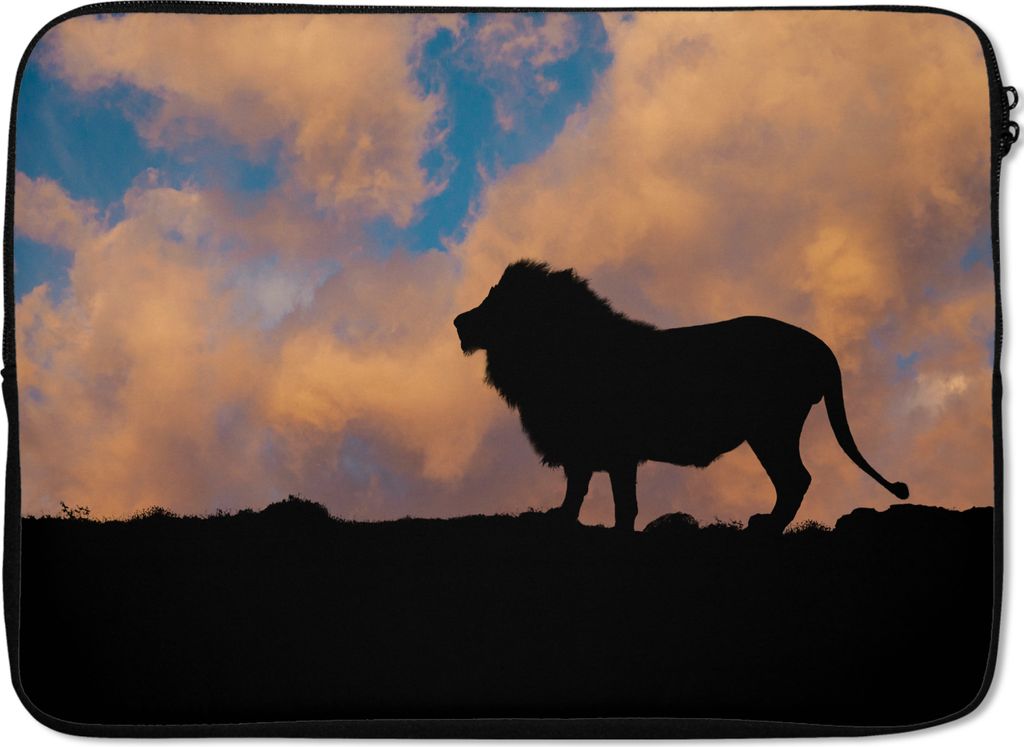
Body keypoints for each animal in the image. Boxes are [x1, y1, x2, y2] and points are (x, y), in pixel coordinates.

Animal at [454, 260, 909, 533]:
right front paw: (563, 518)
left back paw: (765, 527)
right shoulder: (583, 449)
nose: (458, 321)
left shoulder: (617, 450)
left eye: (496, 303)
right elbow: (578, 488)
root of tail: (819, 346)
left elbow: (623, 503)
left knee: (797, 479)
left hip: (771, 427)